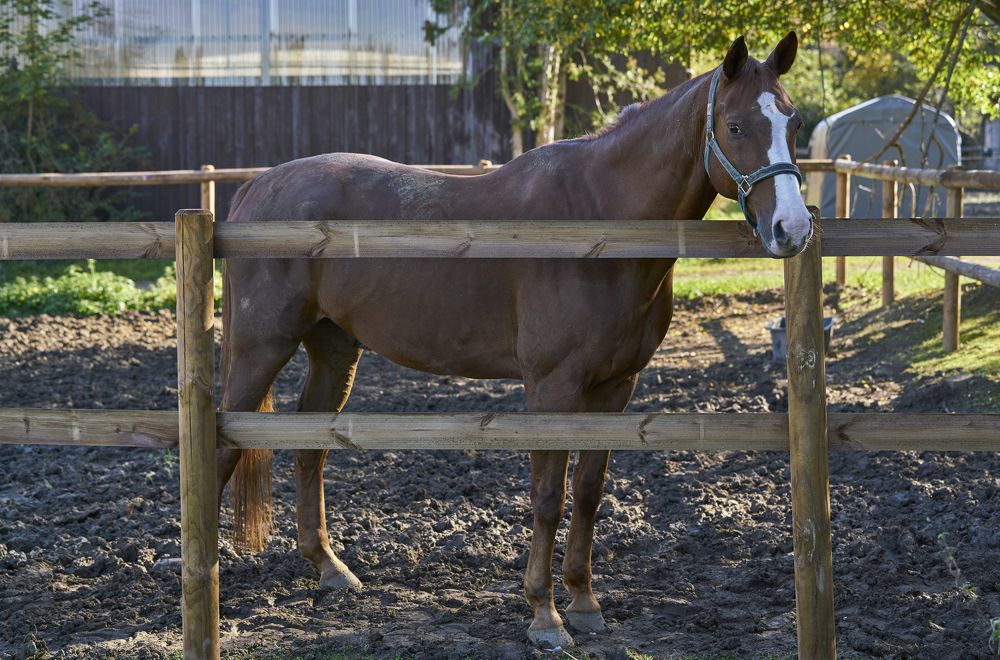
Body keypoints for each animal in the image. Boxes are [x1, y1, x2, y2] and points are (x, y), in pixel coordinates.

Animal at [217, 32, 812, 649]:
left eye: (794, 122)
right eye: (736, 126)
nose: (792, 229)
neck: (598, 224)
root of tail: (256, 189)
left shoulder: (615, 387)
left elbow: (589, 492)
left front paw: (583, 602)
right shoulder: (553, 387)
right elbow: (548, 498)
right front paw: (545, 616)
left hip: (335, 350)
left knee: (310, 444)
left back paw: (330, 569)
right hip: (259, 350)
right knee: (221, 446)